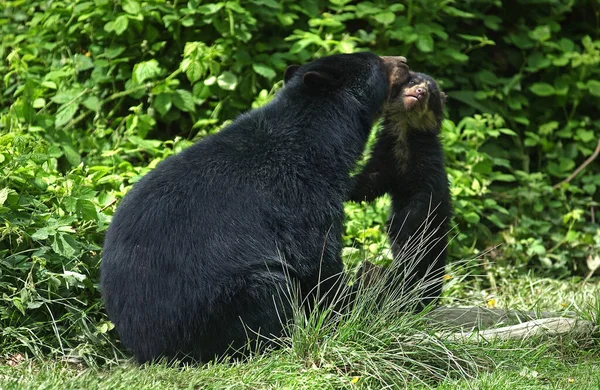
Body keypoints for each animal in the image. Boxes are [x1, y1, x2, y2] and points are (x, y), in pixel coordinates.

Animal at [101, 53, 410, 364]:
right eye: (378, 62)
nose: (404, 62)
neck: (320, 139)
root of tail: (145, 348)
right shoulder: (301, 193)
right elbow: (316, 258)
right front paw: (350, 307)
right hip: (223, 303)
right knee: (271, 290)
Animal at [346, 71, 450, 310]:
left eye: (432, 94)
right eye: (412, 81)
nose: (420, 92)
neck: (405, 132)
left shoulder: (428, 163)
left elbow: (424, 198)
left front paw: (395, 226)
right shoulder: (385, 156)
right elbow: (370, 182)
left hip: (434, 243)